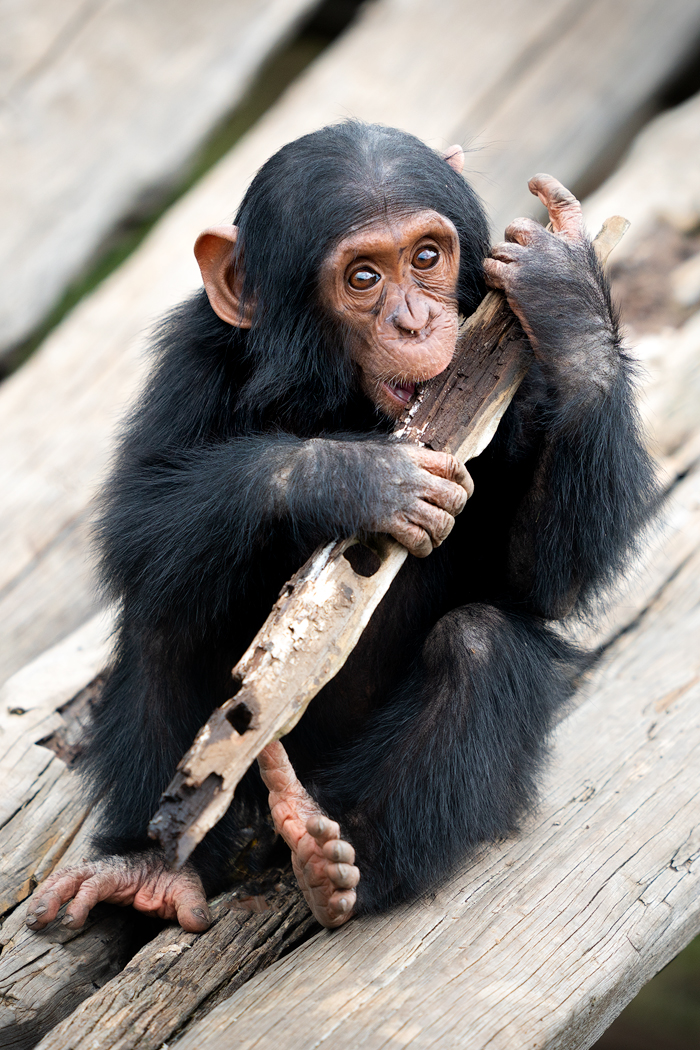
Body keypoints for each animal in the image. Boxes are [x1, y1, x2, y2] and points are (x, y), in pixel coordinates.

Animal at [24, 119, 654, 932]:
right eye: (362, 278)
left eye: (427, 257)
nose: (414, 320)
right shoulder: (192, 359)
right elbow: (138, 516)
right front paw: (354, 479)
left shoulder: (524, 383)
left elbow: (537, 580)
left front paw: (566, 299)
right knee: (170, 611)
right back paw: (152, 867)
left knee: (480, 642)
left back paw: (341, 863)